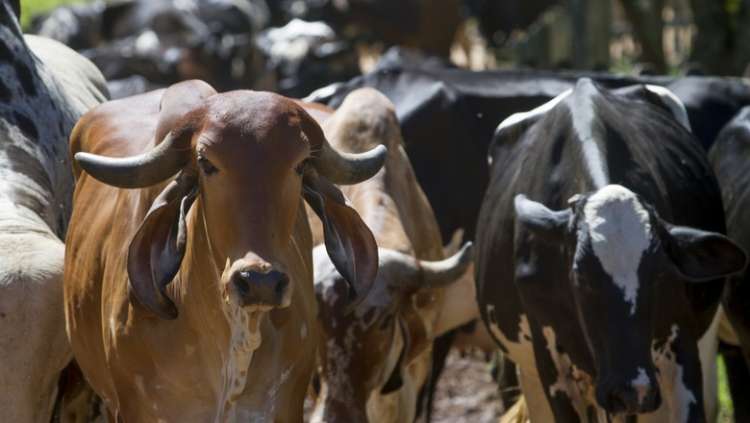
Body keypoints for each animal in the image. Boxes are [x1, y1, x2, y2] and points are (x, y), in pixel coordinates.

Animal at [476, 78, 748, 420]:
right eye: (580, 278)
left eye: (660, 276)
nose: (632, 390)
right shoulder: (553, 365)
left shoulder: (680, 349)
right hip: (533, 377)